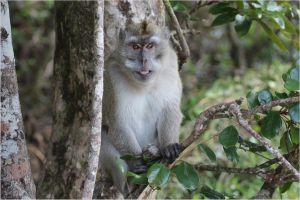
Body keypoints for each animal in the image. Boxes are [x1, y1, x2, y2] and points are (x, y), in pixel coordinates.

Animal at [99, 20, 182, 194]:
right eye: (135, 47)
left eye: (150, 46)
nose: (143, 60)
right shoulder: (112, 75)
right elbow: (118, 124)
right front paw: (136, 163)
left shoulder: (171, 65)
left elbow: (171, 110)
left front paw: (169, 146)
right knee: (103, 133)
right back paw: (129, 182)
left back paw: (155, 153)